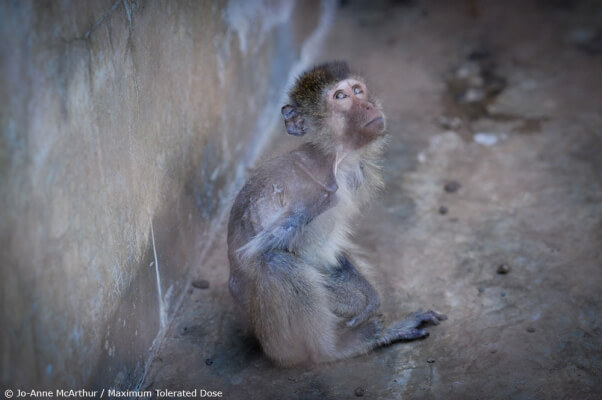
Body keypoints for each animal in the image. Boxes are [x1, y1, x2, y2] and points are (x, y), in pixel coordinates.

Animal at [225, 60, 440, 366]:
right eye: (341, 97)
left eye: (358, 90)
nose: (367, 106)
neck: (337, 160)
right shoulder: (312, 193)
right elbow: (254, 255)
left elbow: (335, 249)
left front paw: (371, 296)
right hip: (274, 339)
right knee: (276, 263)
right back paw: (335, 349)